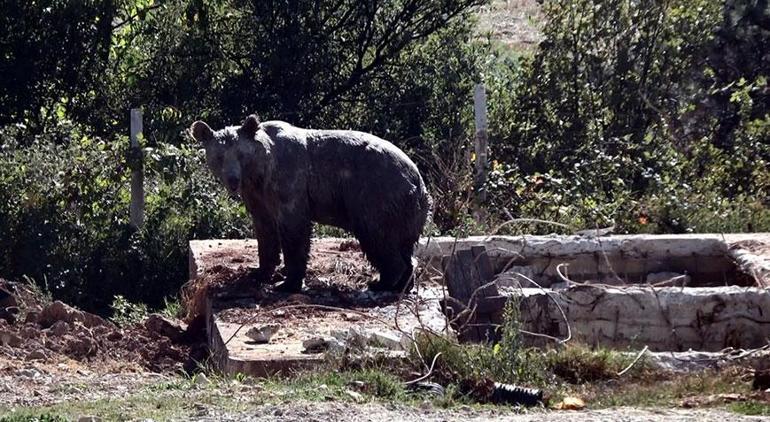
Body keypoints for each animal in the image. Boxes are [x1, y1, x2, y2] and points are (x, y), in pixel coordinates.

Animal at [190, 115, 432, 294]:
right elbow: (265, 231)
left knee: (377, 237)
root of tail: (419, 180)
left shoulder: (289, 181)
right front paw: (259, 272)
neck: (260, 171)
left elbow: (294, 229)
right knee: (402, 244)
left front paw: (287, 283)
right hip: (405, 211)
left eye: (241, 155)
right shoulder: (258, 196)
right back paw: (403, 283)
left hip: (376, 194)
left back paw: (382, 281)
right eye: (219, 156)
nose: (232, 180)